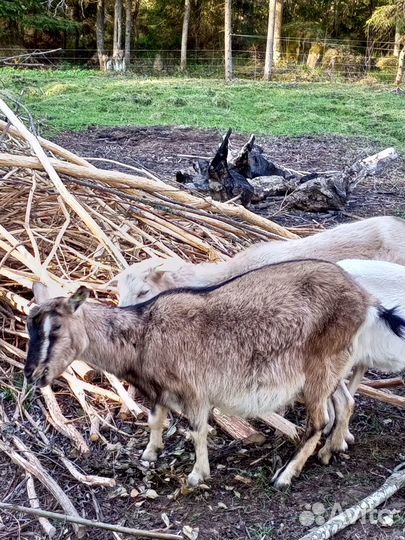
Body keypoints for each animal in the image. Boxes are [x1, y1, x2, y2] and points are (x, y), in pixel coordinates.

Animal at [24, 262, 392, 490]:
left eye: (55, 329)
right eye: (30, 327)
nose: (32, 373)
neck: (144, 334)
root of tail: (364, 299)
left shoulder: (194, 388)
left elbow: (198, 429)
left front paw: (197, 475)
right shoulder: (158, 390)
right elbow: (156, 420)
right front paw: (149, 454)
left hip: (320, 367)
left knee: (318, 420)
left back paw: (286, 475)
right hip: (333, 365)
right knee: (345, 401)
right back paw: (332, 449)